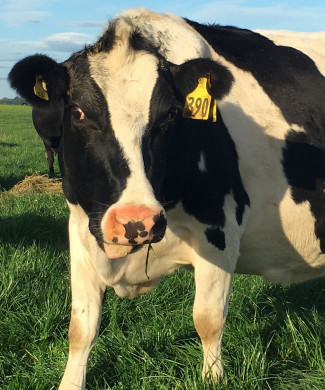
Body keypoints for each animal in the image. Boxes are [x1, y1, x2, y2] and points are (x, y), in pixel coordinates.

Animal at [6, 8, 324, 390]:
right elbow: (81, 327)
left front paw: (212, 379)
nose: (137, 220)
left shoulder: (218, 227)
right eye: (79, 112)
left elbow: (208, 318)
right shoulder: (82, 229)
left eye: (170, 115)